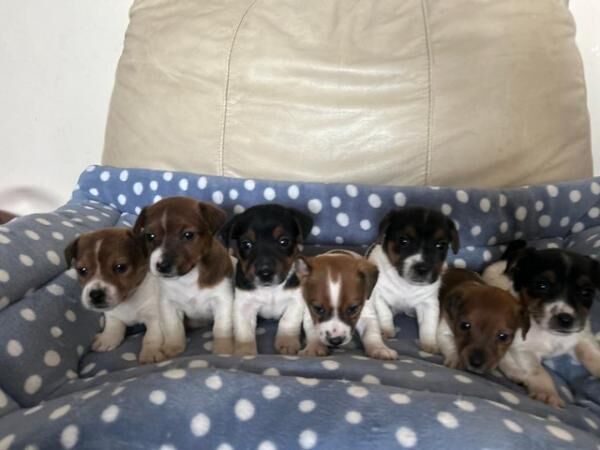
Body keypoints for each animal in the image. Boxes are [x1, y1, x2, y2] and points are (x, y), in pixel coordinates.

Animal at [134, 197, 234, 358]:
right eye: (150, 236)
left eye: (188, 235)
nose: (162, 265)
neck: (188, 277)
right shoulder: (168, 304)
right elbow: (173, 326)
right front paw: (173, 346)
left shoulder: (222, 301)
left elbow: (221, 327)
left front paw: (222, 349)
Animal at [221, 203, 314, 356]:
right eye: (246, 244)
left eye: (284, 241)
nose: (265, 273)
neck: (270, 289)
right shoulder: (244, 305)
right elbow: (244, 332)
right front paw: (246, 352)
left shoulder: (296, 299)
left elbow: (288, 320)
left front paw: (287, 342)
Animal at [366, 207, 460, 356]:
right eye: (403, 241)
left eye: (441, 245)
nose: (422, 268)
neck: (406, 284)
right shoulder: (378, 295)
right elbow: (384, 312)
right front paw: (387, 329)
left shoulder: (429, 303)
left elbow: (429, 324)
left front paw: (430, 344)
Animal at [480, 243, 600, 408]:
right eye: (542, 285)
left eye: (586, 292)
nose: (565, 319)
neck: (549, 333)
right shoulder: (521, 348)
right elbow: (539, 371)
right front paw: (547, 393)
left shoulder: (582, 337)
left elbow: (593, 354)